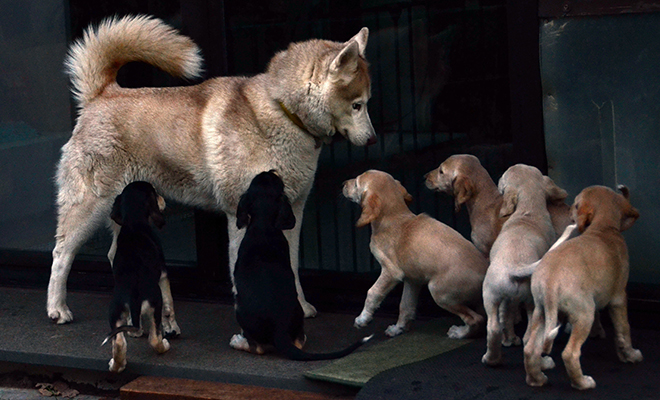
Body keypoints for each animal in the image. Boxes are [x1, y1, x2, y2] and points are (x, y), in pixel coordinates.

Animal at [46, 17, 376, 326]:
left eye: (365, 103)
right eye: (357, 105)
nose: (373, 139)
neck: (284, 112)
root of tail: (101, 95)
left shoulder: (293, 210)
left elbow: (292, 266)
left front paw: (299, 307)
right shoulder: (240, 213)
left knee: (115, 254)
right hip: (90, 206)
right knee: (61, 254)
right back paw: (57, 308)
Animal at [102, 181, 170, 372]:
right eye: (155, 193)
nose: (164, 199)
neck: (133, 222)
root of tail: (133, 297)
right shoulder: (163, 274)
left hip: (114, 311)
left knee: (118, 342)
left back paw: (116, 365)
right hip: (155, 304)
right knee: (154, 338)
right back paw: (164, 345)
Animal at [229, 170, 368, 360]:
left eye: (274, 179)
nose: (269, 170)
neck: (264, 225)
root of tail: (279, 331)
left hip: (240, 309)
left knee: (257, 348)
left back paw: (237, 341)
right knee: (299, 341)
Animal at [342, 170, 488, 340]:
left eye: (356, 183)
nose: (343, 183)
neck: (395, 216)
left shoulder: (391, 272)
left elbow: (372, 292)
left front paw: (363, 318)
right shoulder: (413, 280)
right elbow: (405, 306)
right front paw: (398, 328)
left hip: (439, 291)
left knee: (476, 318)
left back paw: (460, 333)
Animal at [480, 163, 568, 366]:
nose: (498, 180)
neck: (529, 210)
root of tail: (515, 267)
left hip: (492, 296)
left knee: (495, 328)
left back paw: (492, 358)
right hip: (512, 298)